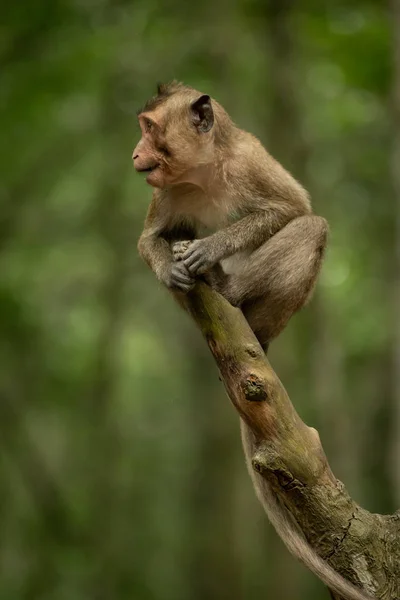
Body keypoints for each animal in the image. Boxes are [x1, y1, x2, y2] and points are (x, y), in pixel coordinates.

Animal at [135, 81, 376, 600]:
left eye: (149, 128)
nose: (135, 152)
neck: (204, 170)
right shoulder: (166, 191)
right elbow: (149, 240)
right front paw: (169, 267)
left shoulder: (250, 162)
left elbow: (294, 208)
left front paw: (210, 248)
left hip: (265, 314)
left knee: (312, 228)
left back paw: (223, 286)